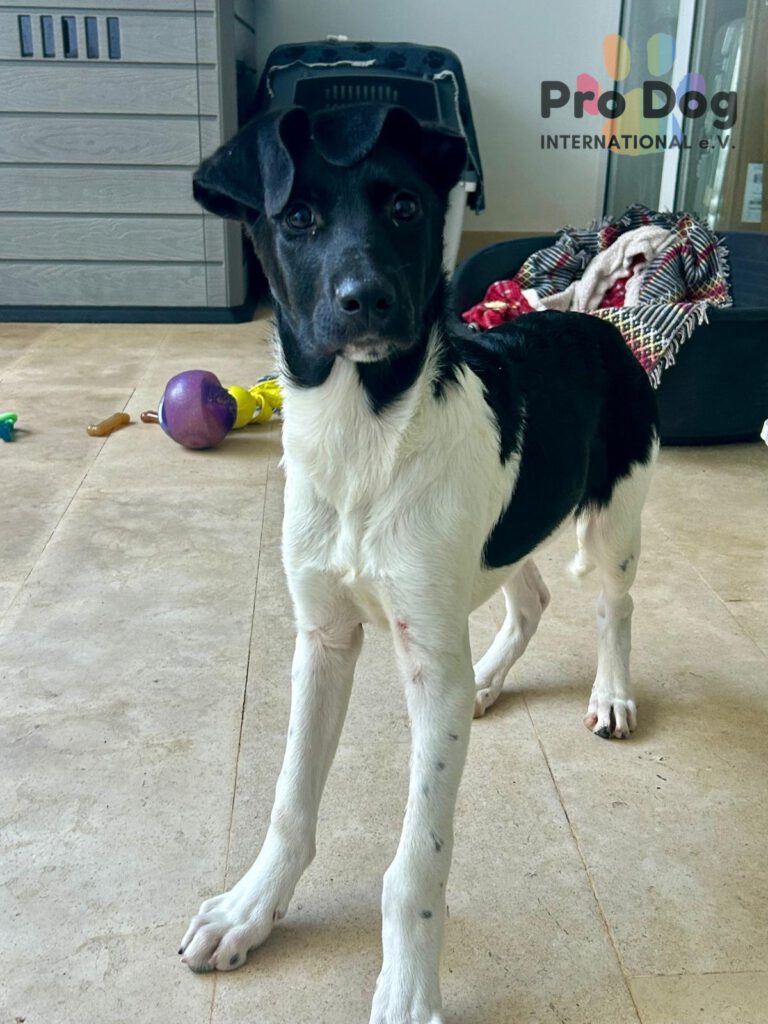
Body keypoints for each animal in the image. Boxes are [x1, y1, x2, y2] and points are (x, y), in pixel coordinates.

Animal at [179, 104, 659, 1023]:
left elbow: (417, 861)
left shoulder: (425, 662)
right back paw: (490, 680)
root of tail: (595, 321)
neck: (365, 437)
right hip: (504, 532)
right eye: (298, 218)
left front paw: (407, 986)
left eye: (404, 208)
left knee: (612, 607)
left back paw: (612, 693)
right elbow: (289, 801)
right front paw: (252, 908)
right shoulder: (324, 641)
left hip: (615, 517)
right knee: (530, 597)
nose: (366, 299)